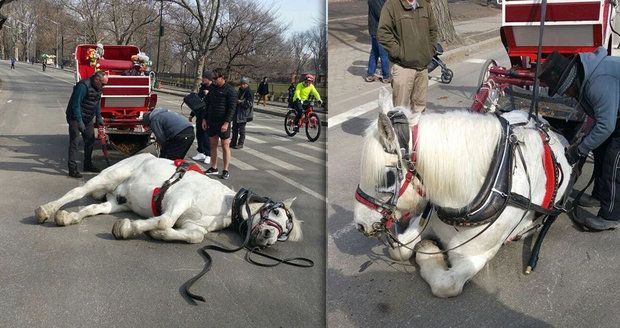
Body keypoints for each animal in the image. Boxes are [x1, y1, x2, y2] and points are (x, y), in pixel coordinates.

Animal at [35, 152, 302, 247]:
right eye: (276, 212)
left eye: (285, 232)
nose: (269, 237)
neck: (223, 205)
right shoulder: (180, 198)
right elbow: (164, 220)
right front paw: (130, 227)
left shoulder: (192, 225)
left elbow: (195, 237)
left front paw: (156, 234)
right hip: (108, 177)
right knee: (77, 193)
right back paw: (47, 210)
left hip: (117, 201)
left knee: (91, 208)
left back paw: (68, 217)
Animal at [354, 92, 572, 298]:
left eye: (388, 178)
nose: (360, 224)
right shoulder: (427, 221)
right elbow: (398, 250)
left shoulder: (475, 256)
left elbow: (445, 285)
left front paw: (429, 250)